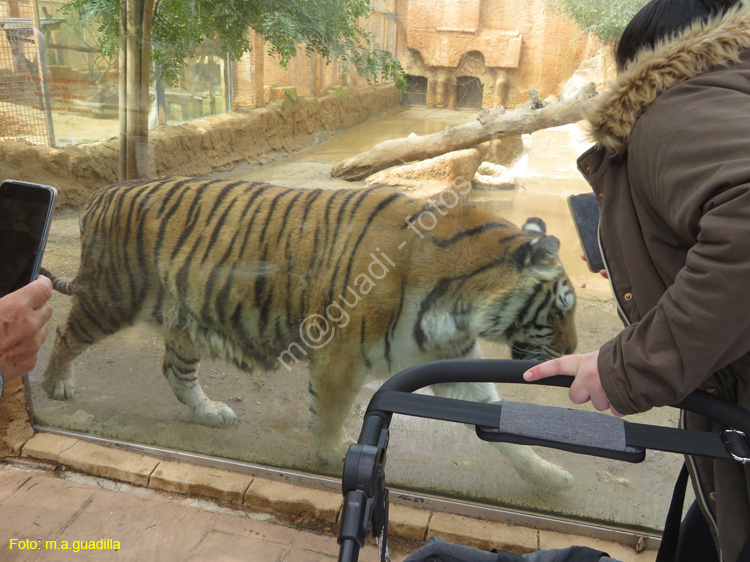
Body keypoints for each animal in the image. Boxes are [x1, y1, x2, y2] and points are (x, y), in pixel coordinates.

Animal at [39, 177, 580, 488]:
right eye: (560, 310)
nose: (575, 352)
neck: (458, 304)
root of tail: (103, 193)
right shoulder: (340, 351)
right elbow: (332, 410)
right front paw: (333, 455)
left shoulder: (454, 360)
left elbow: (497, 420)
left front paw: (549, 476)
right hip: (112, 297)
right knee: (65, 333)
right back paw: (55, 386)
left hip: (186, 317)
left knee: (175, 369)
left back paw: (210, 413)